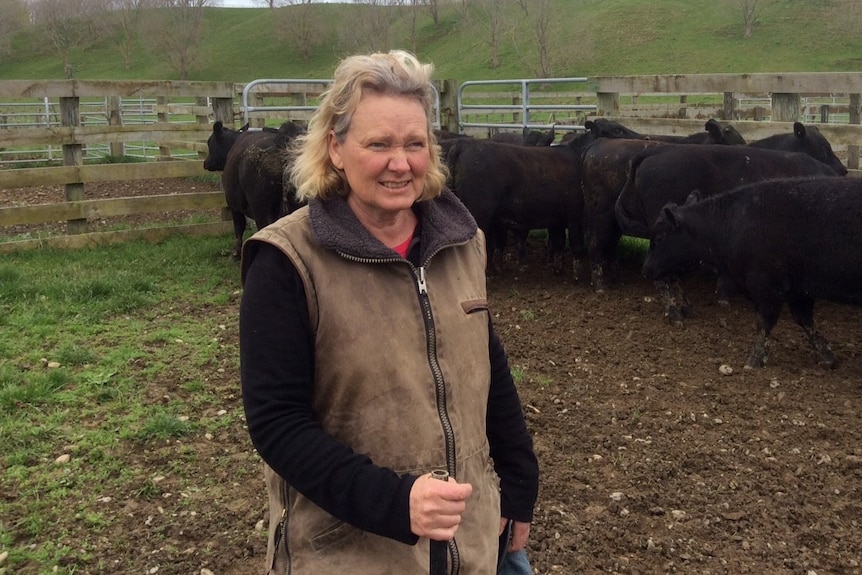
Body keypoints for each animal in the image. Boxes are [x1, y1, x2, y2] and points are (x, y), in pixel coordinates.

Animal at [204, 120, 306, 258]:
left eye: (210, 142)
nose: (206, 163)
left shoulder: (233, 204)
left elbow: (239, 226)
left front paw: (236, 252)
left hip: (262, 210)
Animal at [644, 178, 862, 368]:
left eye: (660, 237)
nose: (646, 269)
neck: (734, 222)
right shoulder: (798, 289)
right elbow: (805, 320)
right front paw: (828, 357)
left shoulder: (767, 285)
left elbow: (764, 322)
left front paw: (754, 360)